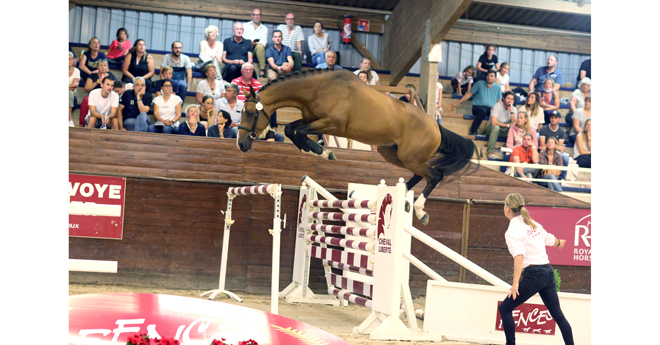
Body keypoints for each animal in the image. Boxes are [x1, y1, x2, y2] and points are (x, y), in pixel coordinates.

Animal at [237, 68, 480, 224]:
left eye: (249, 112)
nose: (240, 143)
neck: (318, 88)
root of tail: (436, 126)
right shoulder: (311, 119)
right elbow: (291, 130)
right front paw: (319, 151)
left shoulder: (332, 124)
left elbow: (300, 132)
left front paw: (324, 152)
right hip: (393, 154)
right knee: (421, 175)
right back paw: (402, 200)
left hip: (410, 157)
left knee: (435, 175)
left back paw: (420, 211)